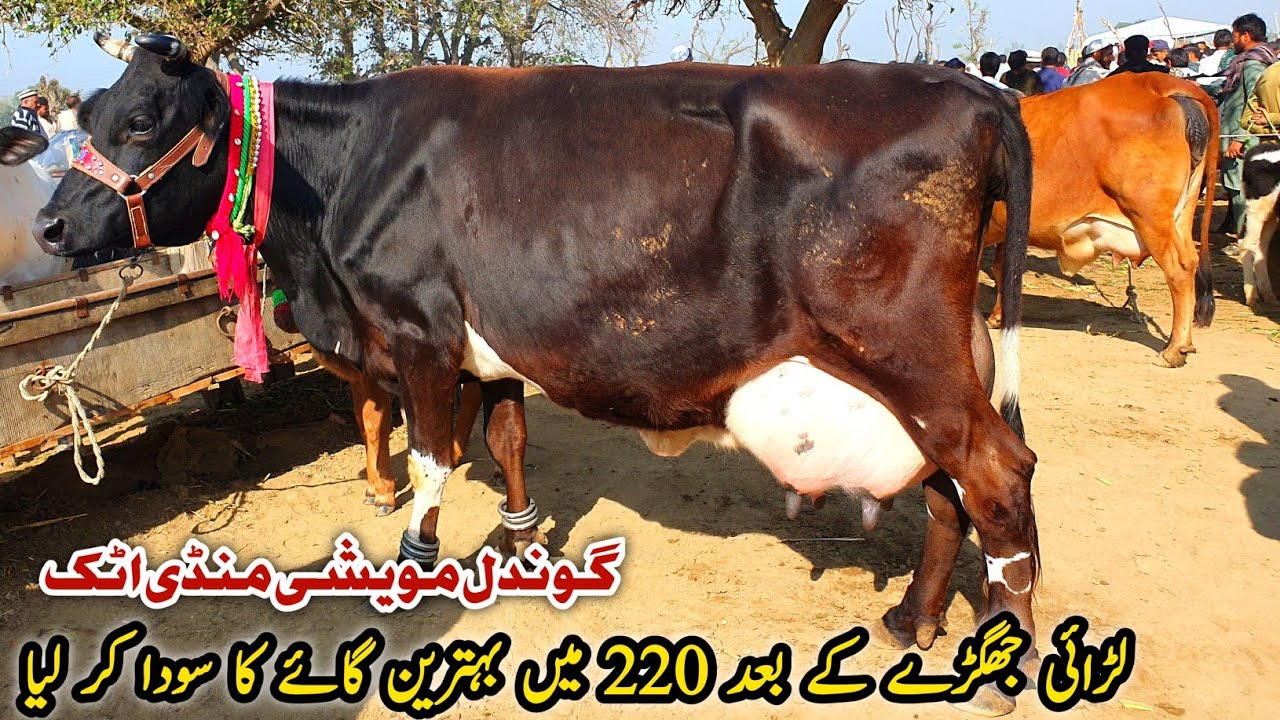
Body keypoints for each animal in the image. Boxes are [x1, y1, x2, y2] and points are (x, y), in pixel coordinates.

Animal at [14, 35, 1040, 715]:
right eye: (86, 117)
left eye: (141, 120)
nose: (51, 227)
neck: (344, 176)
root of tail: (966, 89)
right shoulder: (493, 339)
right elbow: (505, 433)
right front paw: (519, 538)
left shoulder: (418, 333)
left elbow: (432, 458)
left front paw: (416, 562)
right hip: (922, 372)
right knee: (950, 496)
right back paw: (912, 621)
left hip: (908, 353)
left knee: (999, 478)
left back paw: (1006, 664)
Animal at [983, 73, 1219, 368]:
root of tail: (1157, 82)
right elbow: (1004, 270)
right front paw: (998, 317)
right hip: (1183, 212)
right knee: (1192, 259)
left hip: (1151, 216)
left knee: (1180, 267)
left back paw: (1175, 349)